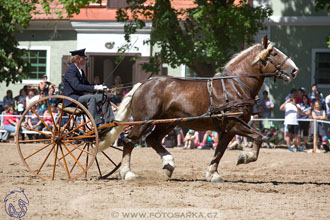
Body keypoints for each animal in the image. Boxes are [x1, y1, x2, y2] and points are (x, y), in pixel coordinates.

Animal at [115, 35, 300, 180]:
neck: (235, 86)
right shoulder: (235, 124)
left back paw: (168, 164)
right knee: (129, 141)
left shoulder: (228, 129)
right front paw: (244, 157)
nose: (295, 70)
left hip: (168, 122)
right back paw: (127, 172)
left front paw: (213, 173)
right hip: (144, 121)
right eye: (274, 53)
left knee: (152, 139)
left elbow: (220, 150)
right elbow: (259, 137)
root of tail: (142, 85)